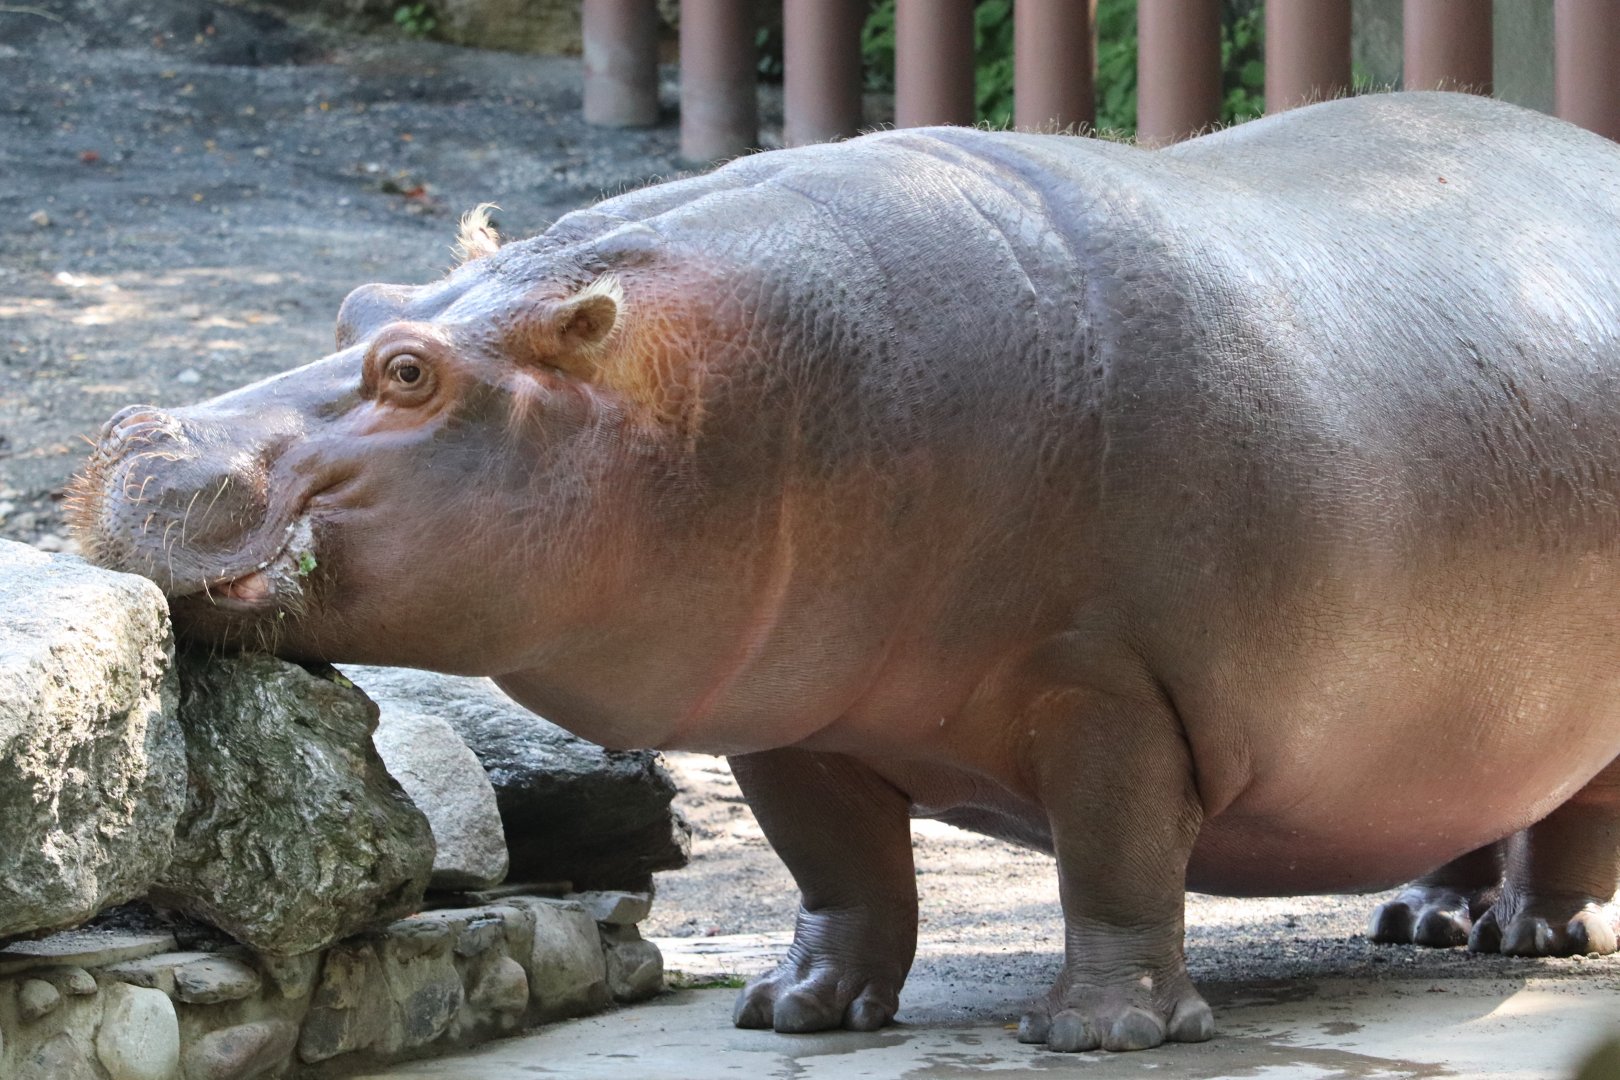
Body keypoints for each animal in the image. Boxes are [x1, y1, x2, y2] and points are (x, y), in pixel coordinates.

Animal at [72, 91, 1620, 1053]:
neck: (743, 388)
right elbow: (840, 868)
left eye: (410, 372)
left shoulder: (1110, 687)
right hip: (1451, 704)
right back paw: (1425, 919)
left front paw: (1101, 1032)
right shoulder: (791, 711)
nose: (139, 436)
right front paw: (793, 1009)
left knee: (1573, 820)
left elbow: (1118, 862)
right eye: (356, 308)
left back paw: (1527, 939)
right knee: (1469, 792)